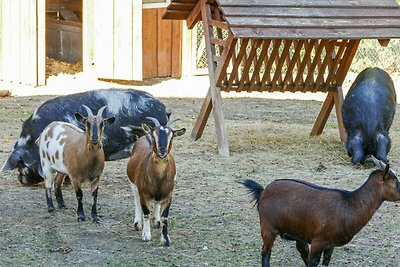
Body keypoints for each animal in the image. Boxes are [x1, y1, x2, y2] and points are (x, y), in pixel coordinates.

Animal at [126, 117, 186, 247]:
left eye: (171, 136)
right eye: (154, 136)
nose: (162, 151)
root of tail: (145, 135)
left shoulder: (169, 196)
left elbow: (165, 218)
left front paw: (165, 239)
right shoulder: (143, 194)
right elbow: (146, 212)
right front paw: (146, 235)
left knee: (157, 203)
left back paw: (156, 221)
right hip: (133, 185)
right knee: (136, 200)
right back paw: (137, 224)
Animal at [241, 157, 400, 267]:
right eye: (396, 183)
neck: (349, 204)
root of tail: (262, 191)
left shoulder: (330, 245)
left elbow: (325, 262)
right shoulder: (318, 242)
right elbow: (314, 262)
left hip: (297, 231)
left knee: (301, 249)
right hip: (268, 227)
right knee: (266, 253)